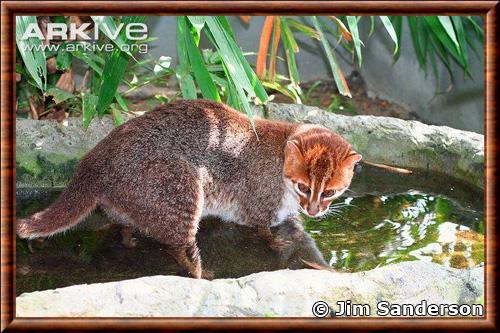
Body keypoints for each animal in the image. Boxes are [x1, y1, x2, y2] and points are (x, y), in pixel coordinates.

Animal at [17, 100, 362, 278]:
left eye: (329, 192)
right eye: (304, 186)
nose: (314, 211)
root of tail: (94, 160)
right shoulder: (258, 204)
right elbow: (263, 229)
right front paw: (276, 242)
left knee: (125, 223)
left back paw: (129, 238)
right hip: (181, 187)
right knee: (176, 245)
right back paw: (198, 273)